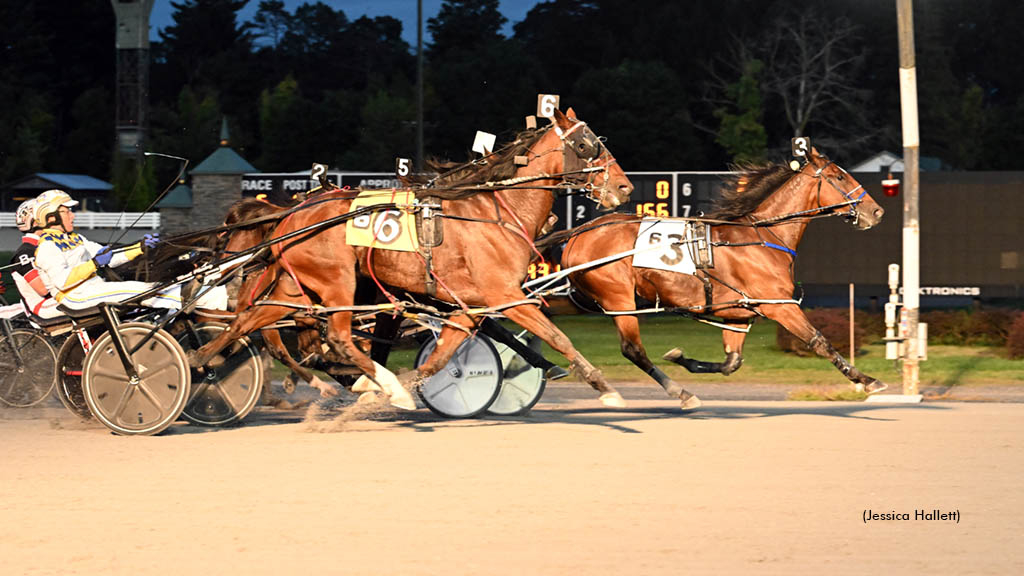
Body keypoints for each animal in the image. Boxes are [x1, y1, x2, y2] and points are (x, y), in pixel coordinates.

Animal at [191, 107, 634, 407]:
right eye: (586, 145)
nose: (625, 187)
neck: (497, 212)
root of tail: (292, 216)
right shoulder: (503, 295)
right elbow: (557, 337)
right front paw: (603, 387)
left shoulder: (468, 307)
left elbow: (438, 360)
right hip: (337, 283)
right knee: (335, 337)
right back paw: (374, 383)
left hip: (296, 288)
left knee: (251, 322)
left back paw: (201, 360)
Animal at [561, 147, 888, 407]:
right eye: (839, 177)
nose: (876, 211)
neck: (763, 236)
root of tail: (579, 233)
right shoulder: (779, 305)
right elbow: (820, 342)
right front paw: (868, 380)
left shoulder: (738, 313)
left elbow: (732, 362)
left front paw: (681, 358)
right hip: (618, 298)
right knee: (633, 349)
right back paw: (677, 393)